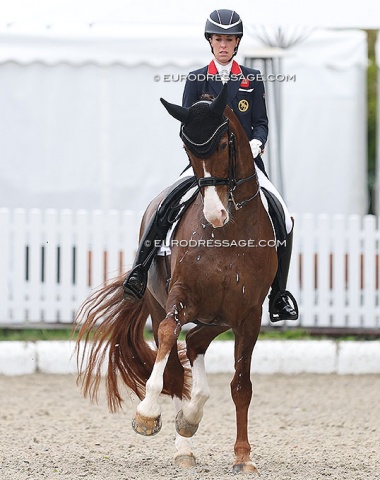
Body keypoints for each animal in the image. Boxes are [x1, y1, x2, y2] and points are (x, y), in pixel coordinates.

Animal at [75, 84, 276, 474]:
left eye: (225, 144)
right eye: (187, 150)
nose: (215, 214)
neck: (227, 234)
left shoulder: (249, 313)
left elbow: (241, 386)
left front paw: (243, 456)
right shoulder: (179, 296)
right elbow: (169, 338)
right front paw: (147, 414)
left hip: (220, 315)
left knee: (196, 343)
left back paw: (191, 418)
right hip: (163, 303)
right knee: (176, 357)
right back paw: (183, 443)